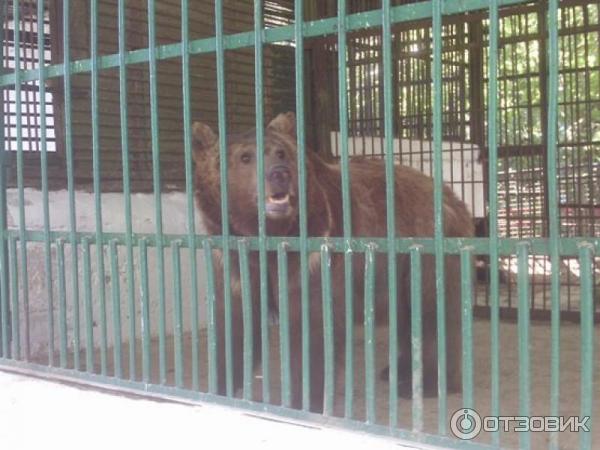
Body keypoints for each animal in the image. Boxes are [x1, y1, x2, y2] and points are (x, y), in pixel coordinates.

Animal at [192, 113, 474, 414]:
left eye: (280, 152)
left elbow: (311, 325)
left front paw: (305, 400)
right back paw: (397, 370)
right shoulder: (235, 259)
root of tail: (452, 195)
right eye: (245, 157)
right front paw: (219, 389)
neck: (267, 237)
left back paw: (425, 384)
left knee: (432, 313)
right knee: (407, 317)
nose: (279, 173)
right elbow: (235, 322)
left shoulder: (312, 253)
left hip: (425, 253)